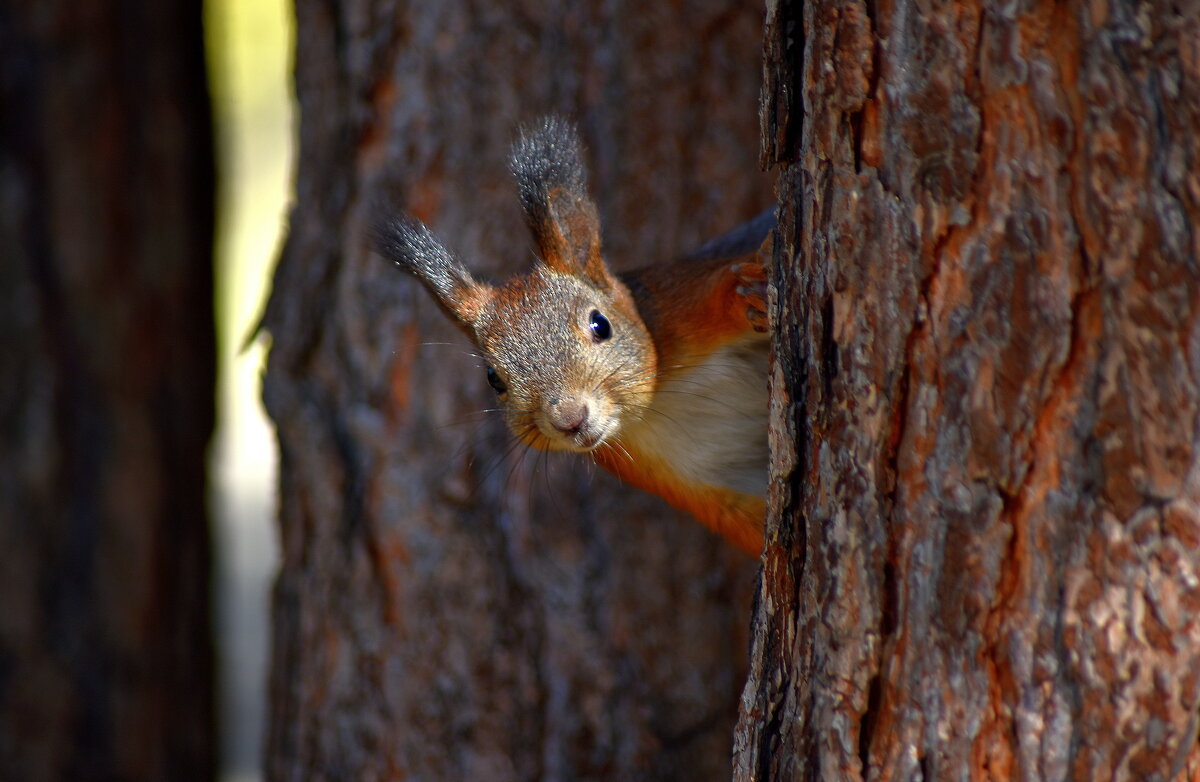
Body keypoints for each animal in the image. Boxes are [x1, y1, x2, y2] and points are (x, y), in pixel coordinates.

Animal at [369, 116, 772, 556]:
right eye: (494, 379)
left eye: (601, 325)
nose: (569, 419)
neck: (656, 408)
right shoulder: (691, 487)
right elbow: (750, 523)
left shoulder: (678, 303)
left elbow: (720, 288)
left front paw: (748, 293)